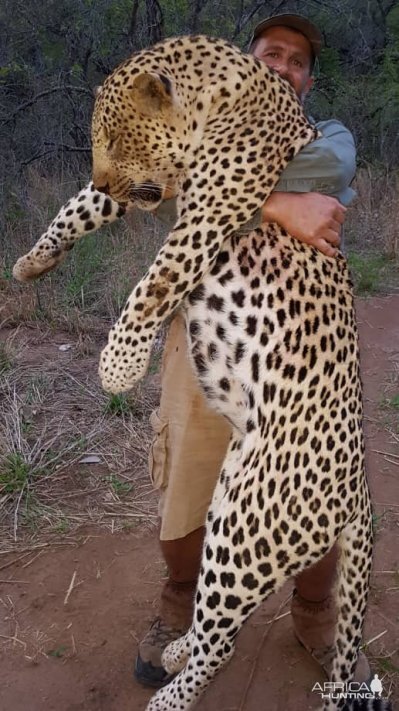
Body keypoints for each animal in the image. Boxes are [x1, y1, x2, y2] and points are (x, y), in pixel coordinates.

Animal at [14, 34, 382, 711]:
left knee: (225, 639)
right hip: (230, 502)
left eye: (118, 136)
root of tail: (360, 492)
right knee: (219, 616)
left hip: (250, 527)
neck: (222, 90)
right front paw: (32, 262)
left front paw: (118, 365)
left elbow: (159, 275)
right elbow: (79, 206)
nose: (102, 172)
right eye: (98, 139)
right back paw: (176, 648)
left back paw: (169, 694)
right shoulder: (152, 188)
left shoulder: (212, 205)